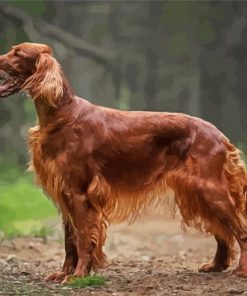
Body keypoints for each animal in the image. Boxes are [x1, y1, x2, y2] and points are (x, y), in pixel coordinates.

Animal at [0, 42, 247, 284]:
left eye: (17, 53)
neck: (62, 115)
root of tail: (221, 136)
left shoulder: (80, 194)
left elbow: (83, 239)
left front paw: (78, 275)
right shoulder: (65, 194)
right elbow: (70, 241)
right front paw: (64, 273)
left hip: (210, 190)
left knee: (240, 230)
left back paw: (241, 271)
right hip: (198, 193)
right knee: (223, 231)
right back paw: (217, 265)